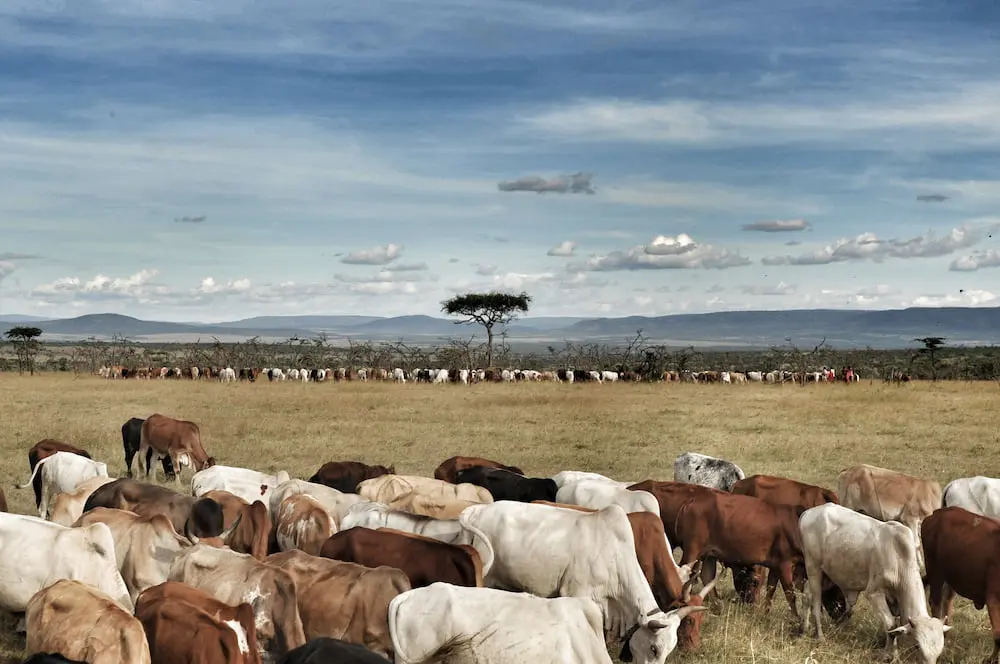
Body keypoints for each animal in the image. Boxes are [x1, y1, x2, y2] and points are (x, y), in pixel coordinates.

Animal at [799, 503, 949, 663]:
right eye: (917, 646)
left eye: (940, 650)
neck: (899, 556)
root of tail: (809, 512)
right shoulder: (874, 592)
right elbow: (891, 626)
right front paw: (890, 655)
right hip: (813, 567)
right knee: (815, 602)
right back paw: (820, 636)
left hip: (826, 573)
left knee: (806, 595)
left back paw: (804, 629)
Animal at [923, 506, 1000, 664]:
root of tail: (936, 514)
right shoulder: (993, 598)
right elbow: (998, 636)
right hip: (935, 572)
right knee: (936, 603)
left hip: (950, 578)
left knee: (947, 601)